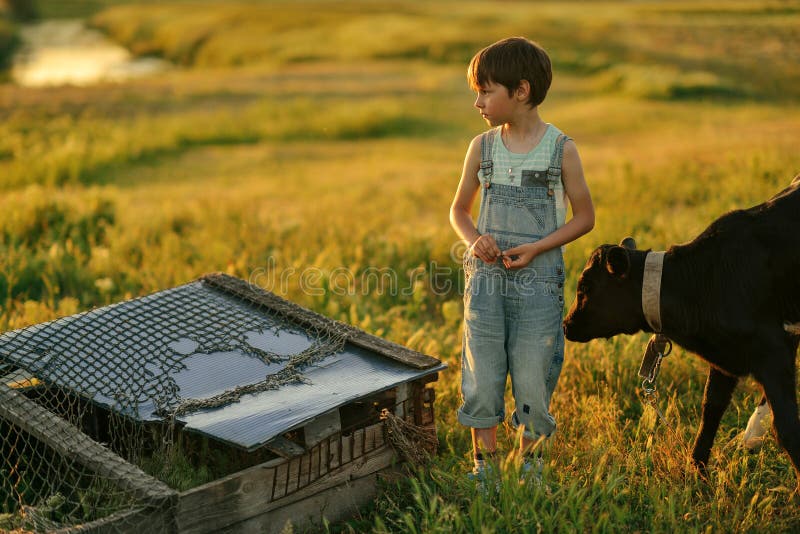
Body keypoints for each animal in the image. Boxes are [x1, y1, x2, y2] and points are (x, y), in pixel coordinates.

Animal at [562, 175, 800, 488]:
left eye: (586, 287)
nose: (566, 325)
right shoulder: (727, 358)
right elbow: (711, 409)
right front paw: (697, 472)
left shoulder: (772, 351)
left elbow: (786, 428)